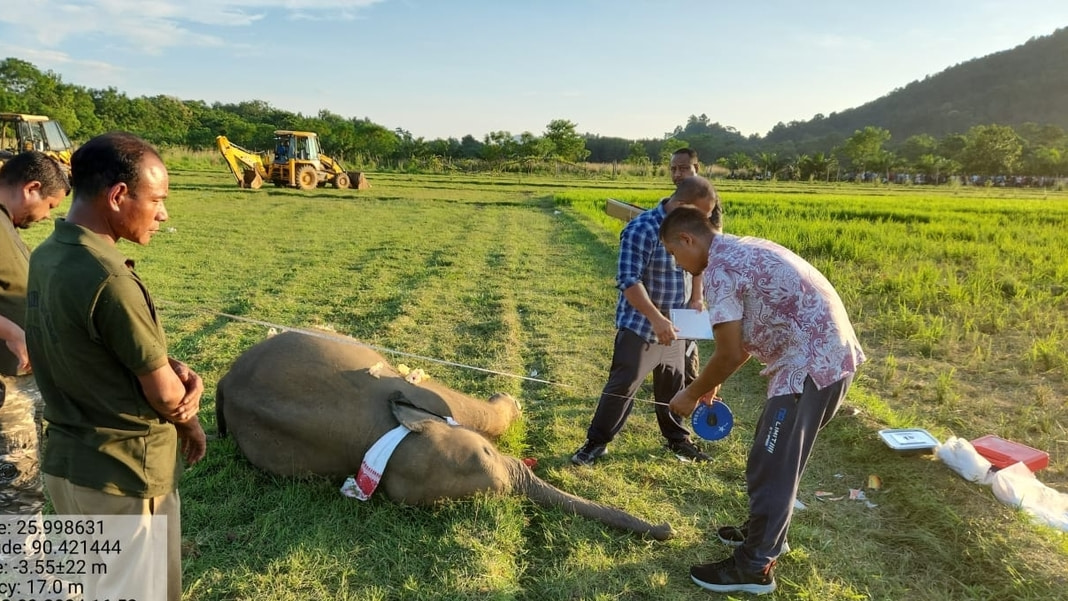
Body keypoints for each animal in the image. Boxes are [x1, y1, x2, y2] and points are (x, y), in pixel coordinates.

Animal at [212, 330, 670, 542]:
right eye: (487, 453)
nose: (667, 530)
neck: (383, 440)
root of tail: (224, 381)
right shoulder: (421, 395)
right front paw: (512, 402)